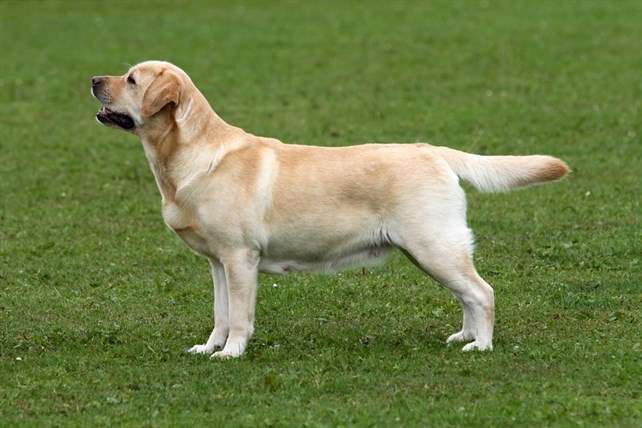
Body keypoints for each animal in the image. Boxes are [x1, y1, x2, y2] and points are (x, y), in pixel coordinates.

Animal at [89, 60, 564, 360]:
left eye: (131, 79)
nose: (93, 79)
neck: (189, 157)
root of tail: (433, 151)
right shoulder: (218, 263)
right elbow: (220, 314)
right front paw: (209, 348)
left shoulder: (240, 258)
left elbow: (240, 317)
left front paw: (231, 354)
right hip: (431, 251)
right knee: (467, 294)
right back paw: (463, 335)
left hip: (434, 246)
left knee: (483, 292)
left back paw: (481, 346)